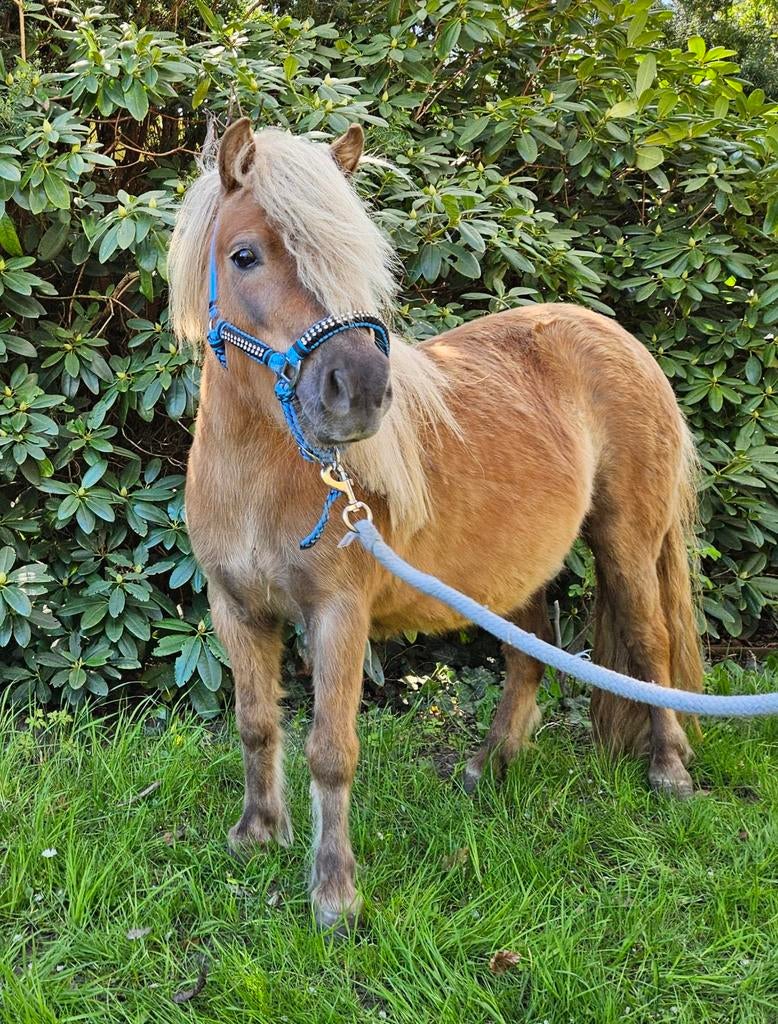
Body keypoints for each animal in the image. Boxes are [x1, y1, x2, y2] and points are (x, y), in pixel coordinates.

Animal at [168, 118, 703, 931]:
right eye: (244, 255)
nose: (359, 388)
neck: (260, 479)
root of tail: (621, 340)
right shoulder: (236, 611)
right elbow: (256, 723)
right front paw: (256, 836)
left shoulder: (338, 615)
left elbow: (331, 749)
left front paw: (335, 896)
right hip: (516, 570)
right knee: (530, 656)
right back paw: (491, 767)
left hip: (627, 543)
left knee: (651, 645)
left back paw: (668, 772)